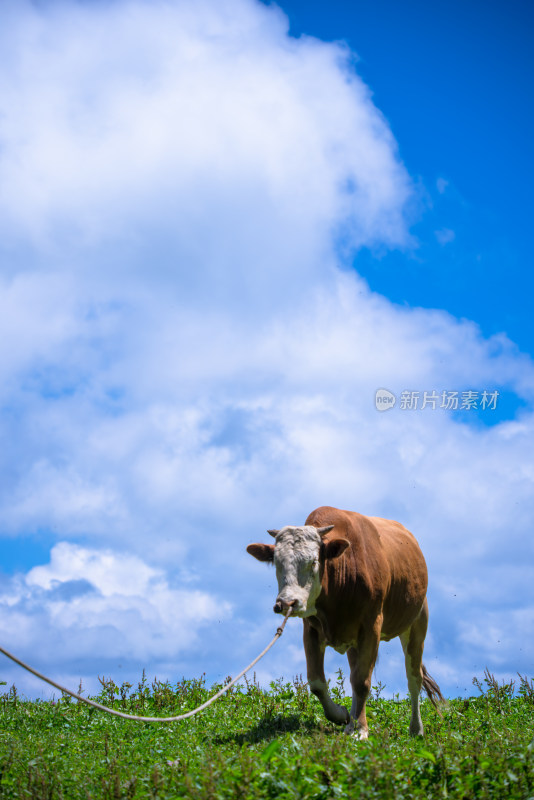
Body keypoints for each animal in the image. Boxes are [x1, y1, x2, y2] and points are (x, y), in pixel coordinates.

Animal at [249, 506, 446, 736]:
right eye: (277, 564)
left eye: (313, 562)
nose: (287, 603)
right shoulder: (311, 629)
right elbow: (317, 682)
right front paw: (342, 716)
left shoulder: (371, 627)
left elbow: (362, 682)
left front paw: (360, 730)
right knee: (354, 674)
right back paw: (352, 721)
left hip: (417, 623)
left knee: (414, 678)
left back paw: (416, 729)